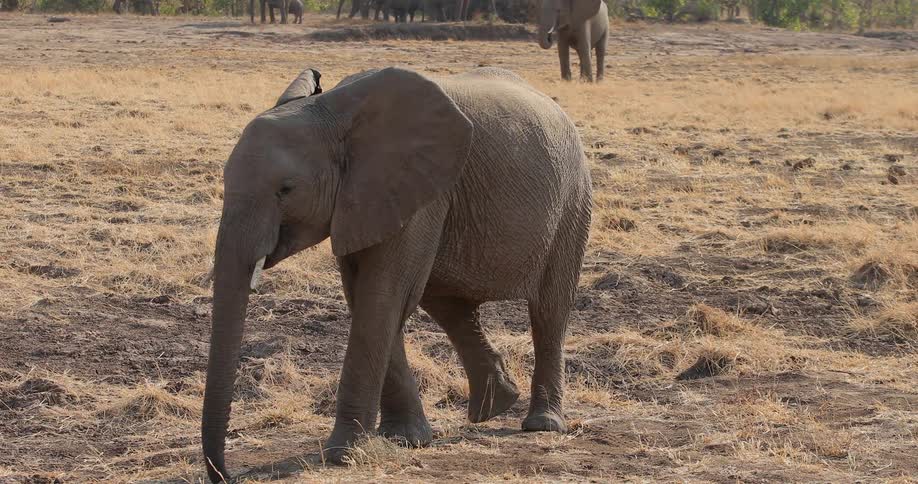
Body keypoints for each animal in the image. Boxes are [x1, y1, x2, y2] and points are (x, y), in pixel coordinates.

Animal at [200, 66, 592, 482]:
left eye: (286, 190)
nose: (229, 474)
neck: (331, 112)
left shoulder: (417, 191)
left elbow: (381, 295)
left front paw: (343, 454)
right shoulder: (365, 201)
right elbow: (367, 296)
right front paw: (405, 440)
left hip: (573, 202)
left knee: (548, 310)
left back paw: (542, 424)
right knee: (447, 305)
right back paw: (495, 406)